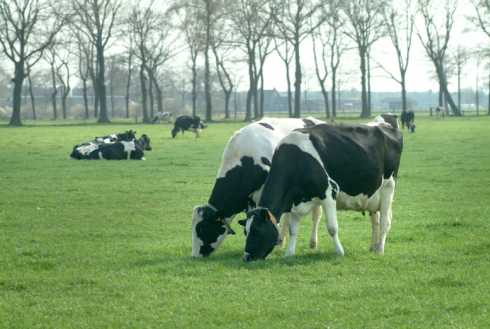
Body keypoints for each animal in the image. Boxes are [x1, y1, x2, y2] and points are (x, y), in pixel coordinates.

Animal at [239, 121, 404, 260]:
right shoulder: (294, 199)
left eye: (256, 231)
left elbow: (332, 227)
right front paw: (289, 253)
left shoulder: (329, 192)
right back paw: (373, 247)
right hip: (373, 197)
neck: (298, 159)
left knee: (385, 221)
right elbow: (293, 229)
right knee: (376, 220)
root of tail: (385, 126)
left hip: (388, 186)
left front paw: (339, 252)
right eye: (245, 232)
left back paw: (379, 250)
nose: (246, 257)